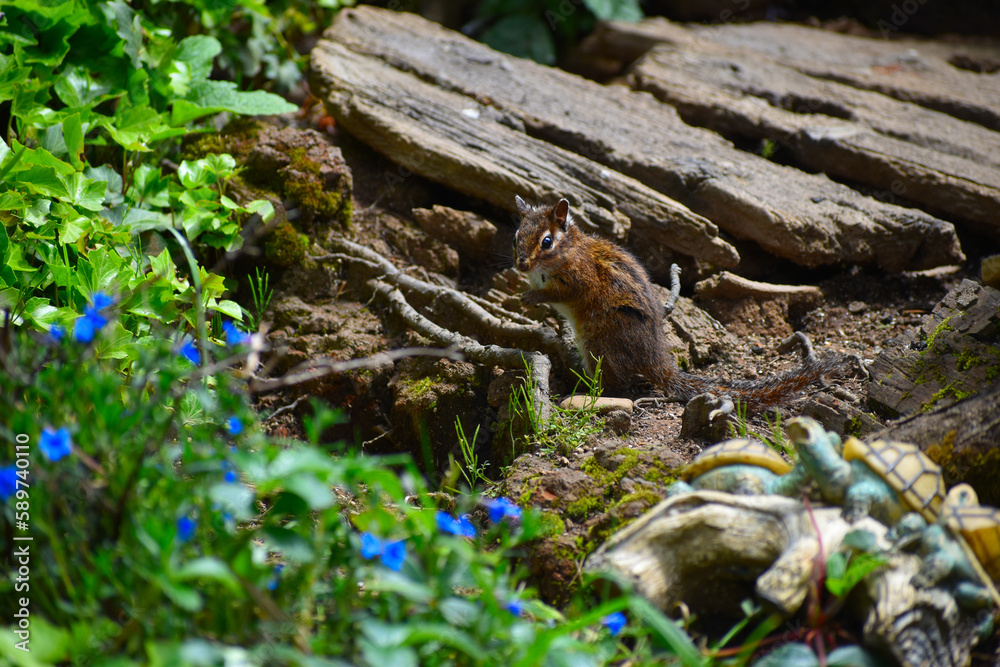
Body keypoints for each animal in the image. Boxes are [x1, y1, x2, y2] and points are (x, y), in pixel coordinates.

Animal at [512, 195, 846, 412]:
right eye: (516, 236)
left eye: (546, 241)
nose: (521, 265)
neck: (568, 251)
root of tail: (656, 358)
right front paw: (522, 295)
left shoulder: (581, 281)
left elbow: (560, 295)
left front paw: (532, 297)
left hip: (599, 343)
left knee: (616, 383)